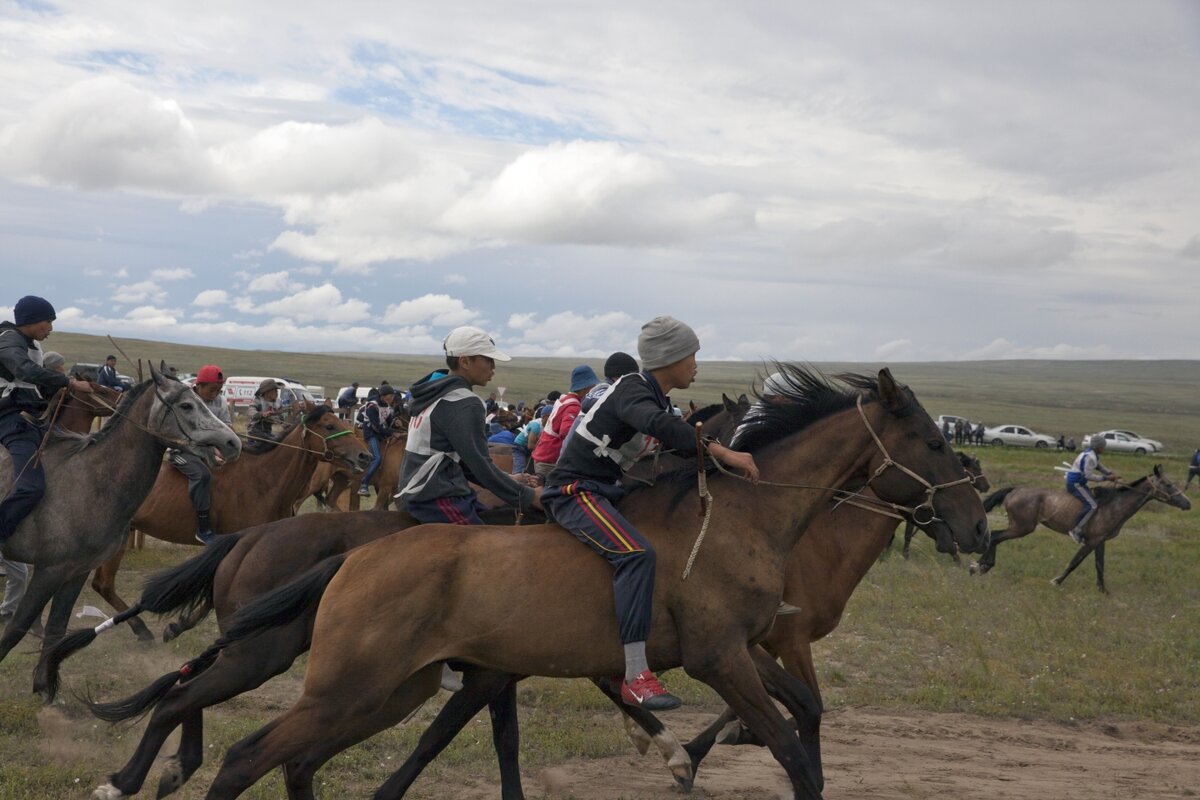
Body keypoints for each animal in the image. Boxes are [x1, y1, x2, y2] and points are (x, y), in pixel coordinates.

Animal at [0, 362, 241, 695]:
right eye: (186, 405)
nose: (233, 443)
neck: (92, 479)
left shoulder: (75, 572)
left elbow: (56, 627)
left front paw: (44, 688)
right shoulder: (48, 571)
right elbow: (17, 627)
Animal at [93, 402, 367, 642]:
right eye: (329, 426)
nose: (365, 455)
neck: (264, 480)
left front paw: (178, 625)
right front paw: (178, 626)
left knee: (100, 584)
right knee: (104, 585)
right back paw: (140, 629)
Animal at [192, 369, 988, 800]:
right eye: (935, 442)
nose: (977, 529)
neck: (742, 517)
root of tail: (355, 560)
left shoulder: (744, 648)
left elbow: (807, 715)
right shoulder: (721, 658)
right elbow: (789, 748)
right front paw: (679, 751)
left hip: (386, 691)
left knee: (288, 757)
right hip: (344, 687)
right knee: (245, 755)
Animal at [969, 465, 1195, 592]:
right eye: (1168, 484)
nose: (1188, 503)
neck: (1114, 505)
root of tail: (1015, 490)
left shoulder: (1100, 542)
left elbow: (1100, 566)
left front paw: (1103, 590)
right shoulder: (1090, 541)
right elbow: (1074, 563)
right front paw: (1056, 581)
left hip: (1020, 527)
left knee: (995, 536)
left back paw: (981, 565)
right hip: (1022, 527)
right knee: (996, 536)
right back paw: (981, 566)